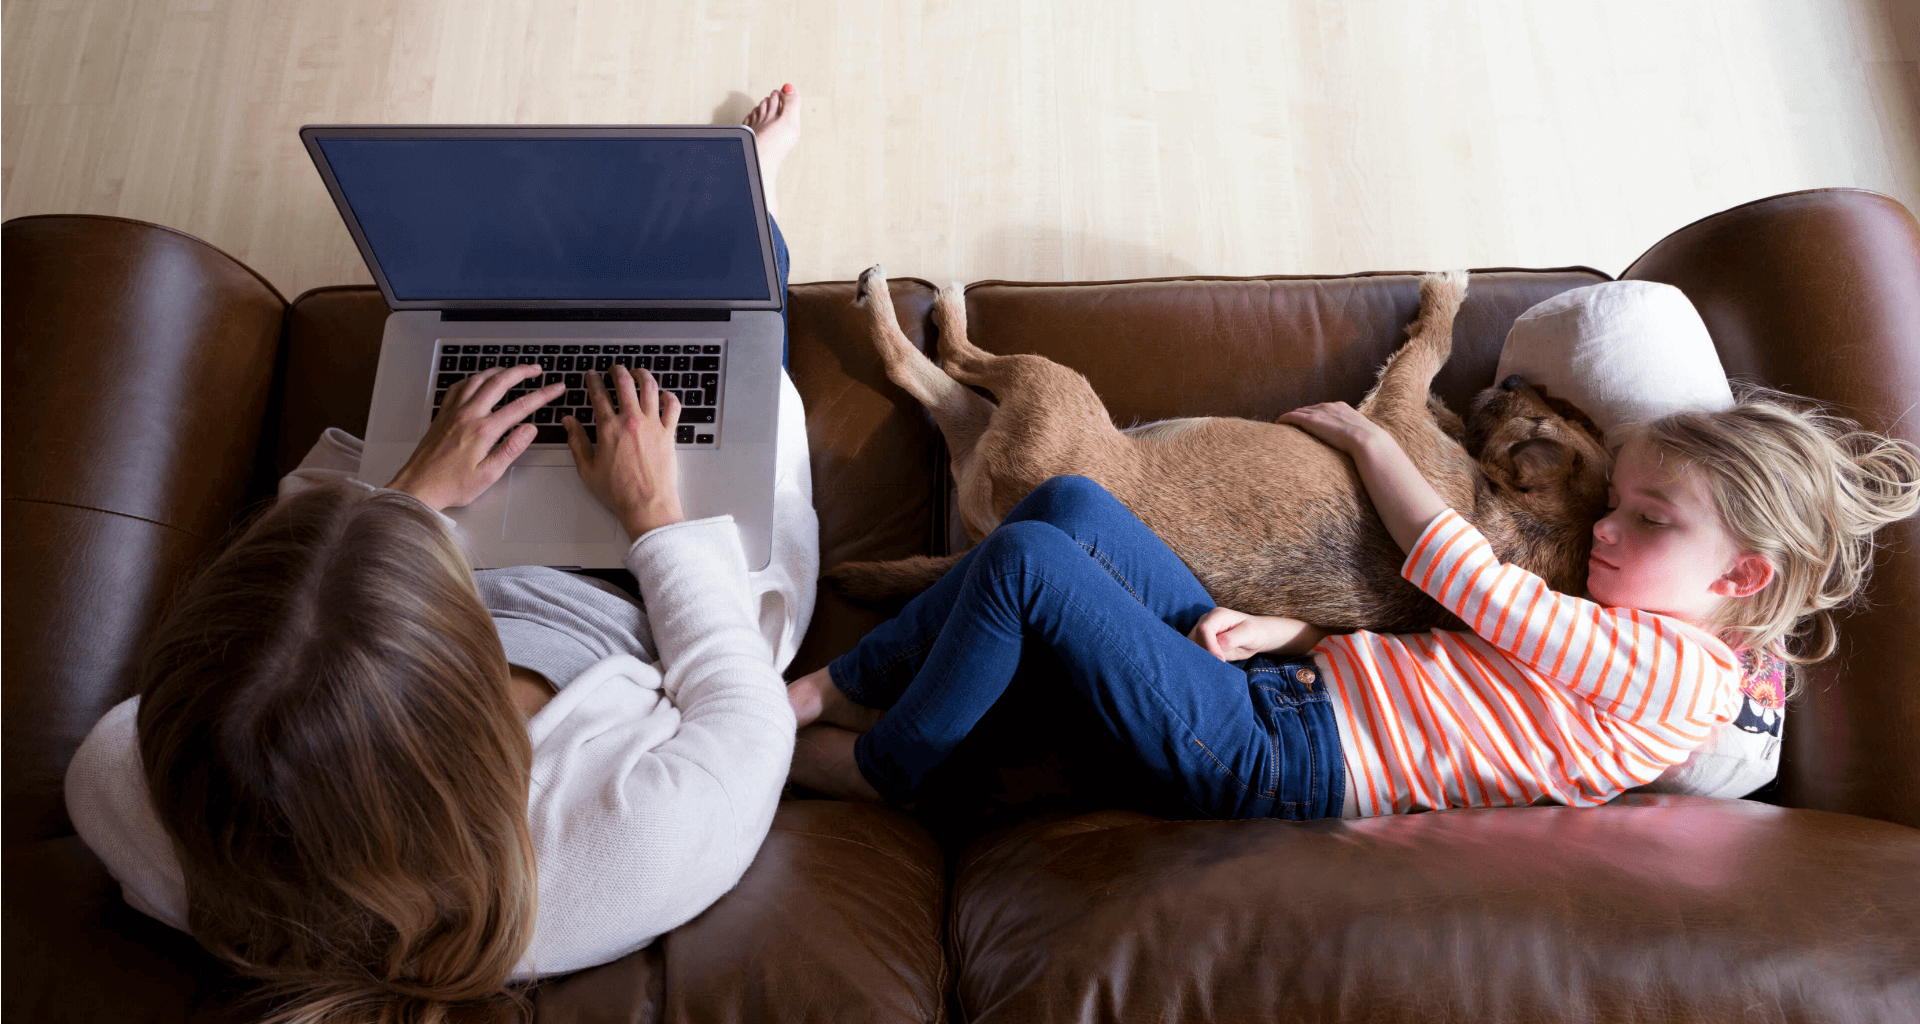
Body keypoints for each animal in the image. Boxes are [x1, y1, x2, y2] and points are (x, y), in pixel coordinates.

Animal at [833, 267, 1612, 630]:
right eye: (1571, 412)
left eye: (1550, 415)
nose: (1512, 380)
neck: (1509, 521)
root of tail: (999, 522)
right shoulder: (1405, 409)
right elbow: (1428, 371)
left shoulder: (1391, 412)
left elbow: (1429, 348)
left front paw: (1443, 298)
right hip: (1003, 414)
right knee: (935, 374)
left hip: (1048, 388)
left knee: (940, 361)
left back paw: (911, 301)